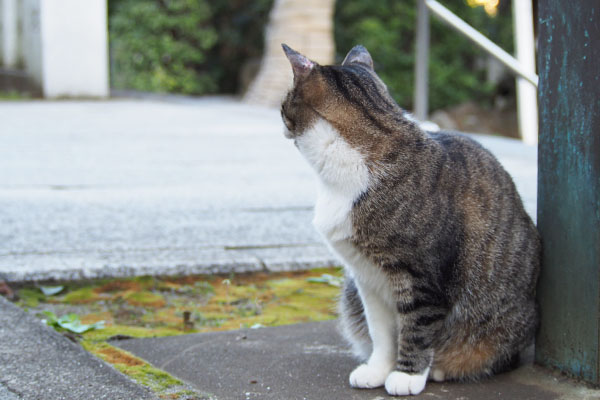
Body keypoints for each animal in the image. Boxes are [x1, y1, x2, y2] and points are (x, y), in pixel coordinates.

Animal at [278, 44, 540, 396]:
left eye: (283, 105)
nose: (281, 123)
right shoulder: (366, 278)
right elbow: (381, 332)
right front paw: (378, 370)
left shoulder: (422, 278)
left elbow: (416, 330)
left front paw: (407, 376)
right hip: (350, 293)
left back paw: (443, 369)